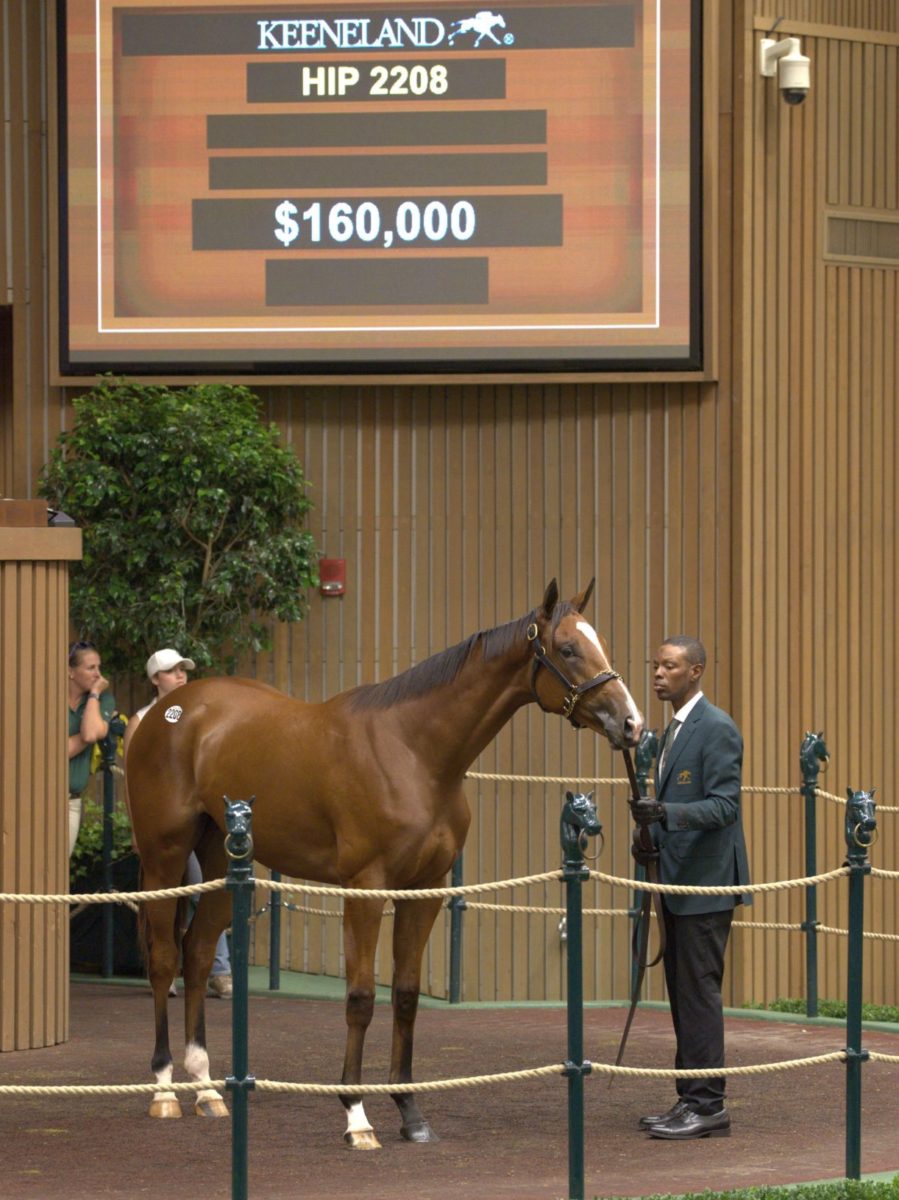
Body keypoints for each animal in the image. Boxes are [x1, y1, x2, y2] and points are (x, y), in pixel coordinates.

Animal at [127, 585, 643, 1147]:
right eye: (568, 649)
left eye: (602, 643)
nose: (631, 722)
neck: (413, 752)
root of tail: (167, 711)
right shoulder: (365, 889)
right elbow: (359, 997)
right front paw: (356, 1114)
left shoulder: (425, 891)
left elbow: (406, 996)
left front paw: (410, 1112)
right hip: (164, 857)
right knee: (163, 960)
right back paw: (163, 1090)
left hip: (222, 859)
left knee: (198, 955)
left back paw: (206, 1090)